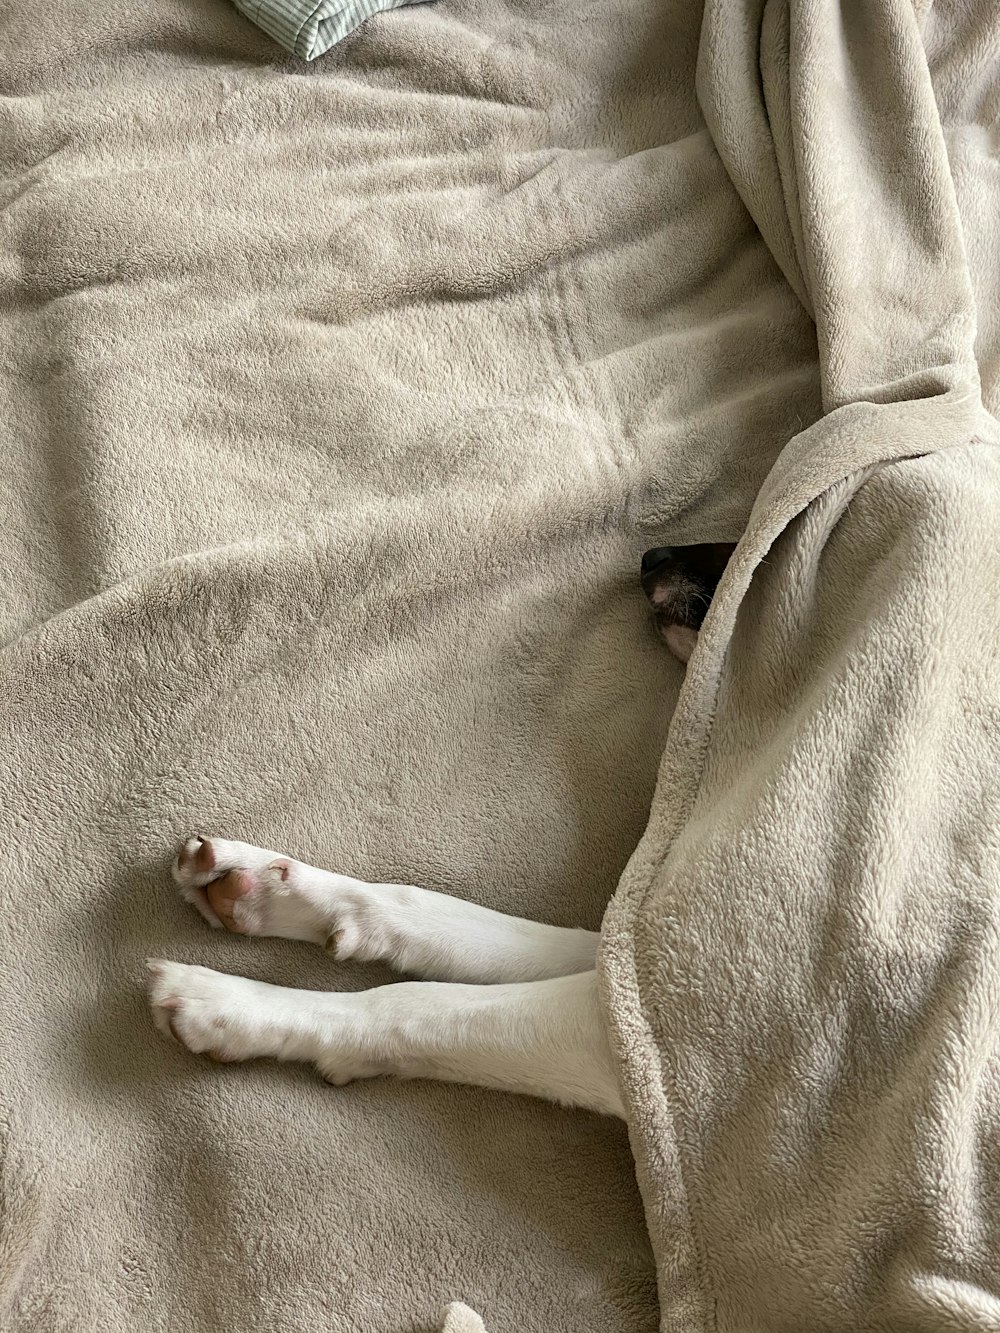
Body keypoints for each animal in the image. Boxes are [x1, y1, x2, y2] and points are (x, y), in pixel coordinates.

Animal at [146, 541, 736, 1114]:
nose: (653, 557)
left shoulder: (653, 1029)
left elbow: (415, 1002)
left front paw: (234, 1004)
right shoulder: (638, 972)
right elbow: (461, 922)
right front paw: (268, 887)